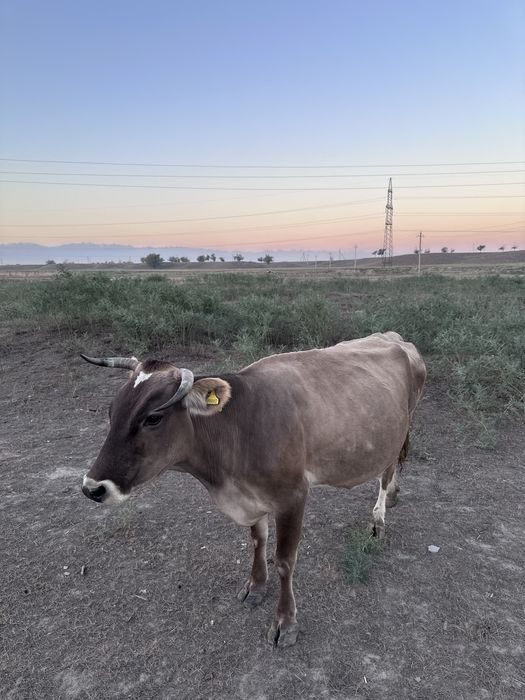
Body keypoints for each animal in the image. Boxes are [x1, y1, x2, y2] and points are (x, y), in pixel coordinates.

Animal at [80, 331, 426, 647]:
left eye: (153, 418)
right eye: (112, 411)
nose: (92, 488)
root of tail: (395, 338)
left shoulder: (293, 495)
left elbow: (285, 561)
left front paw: (286, 623)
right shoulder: (250, 496)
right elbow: (258, 541)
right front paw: (256, 585)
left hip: (400, 428)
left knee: (387, 472)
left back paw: (380, 517)